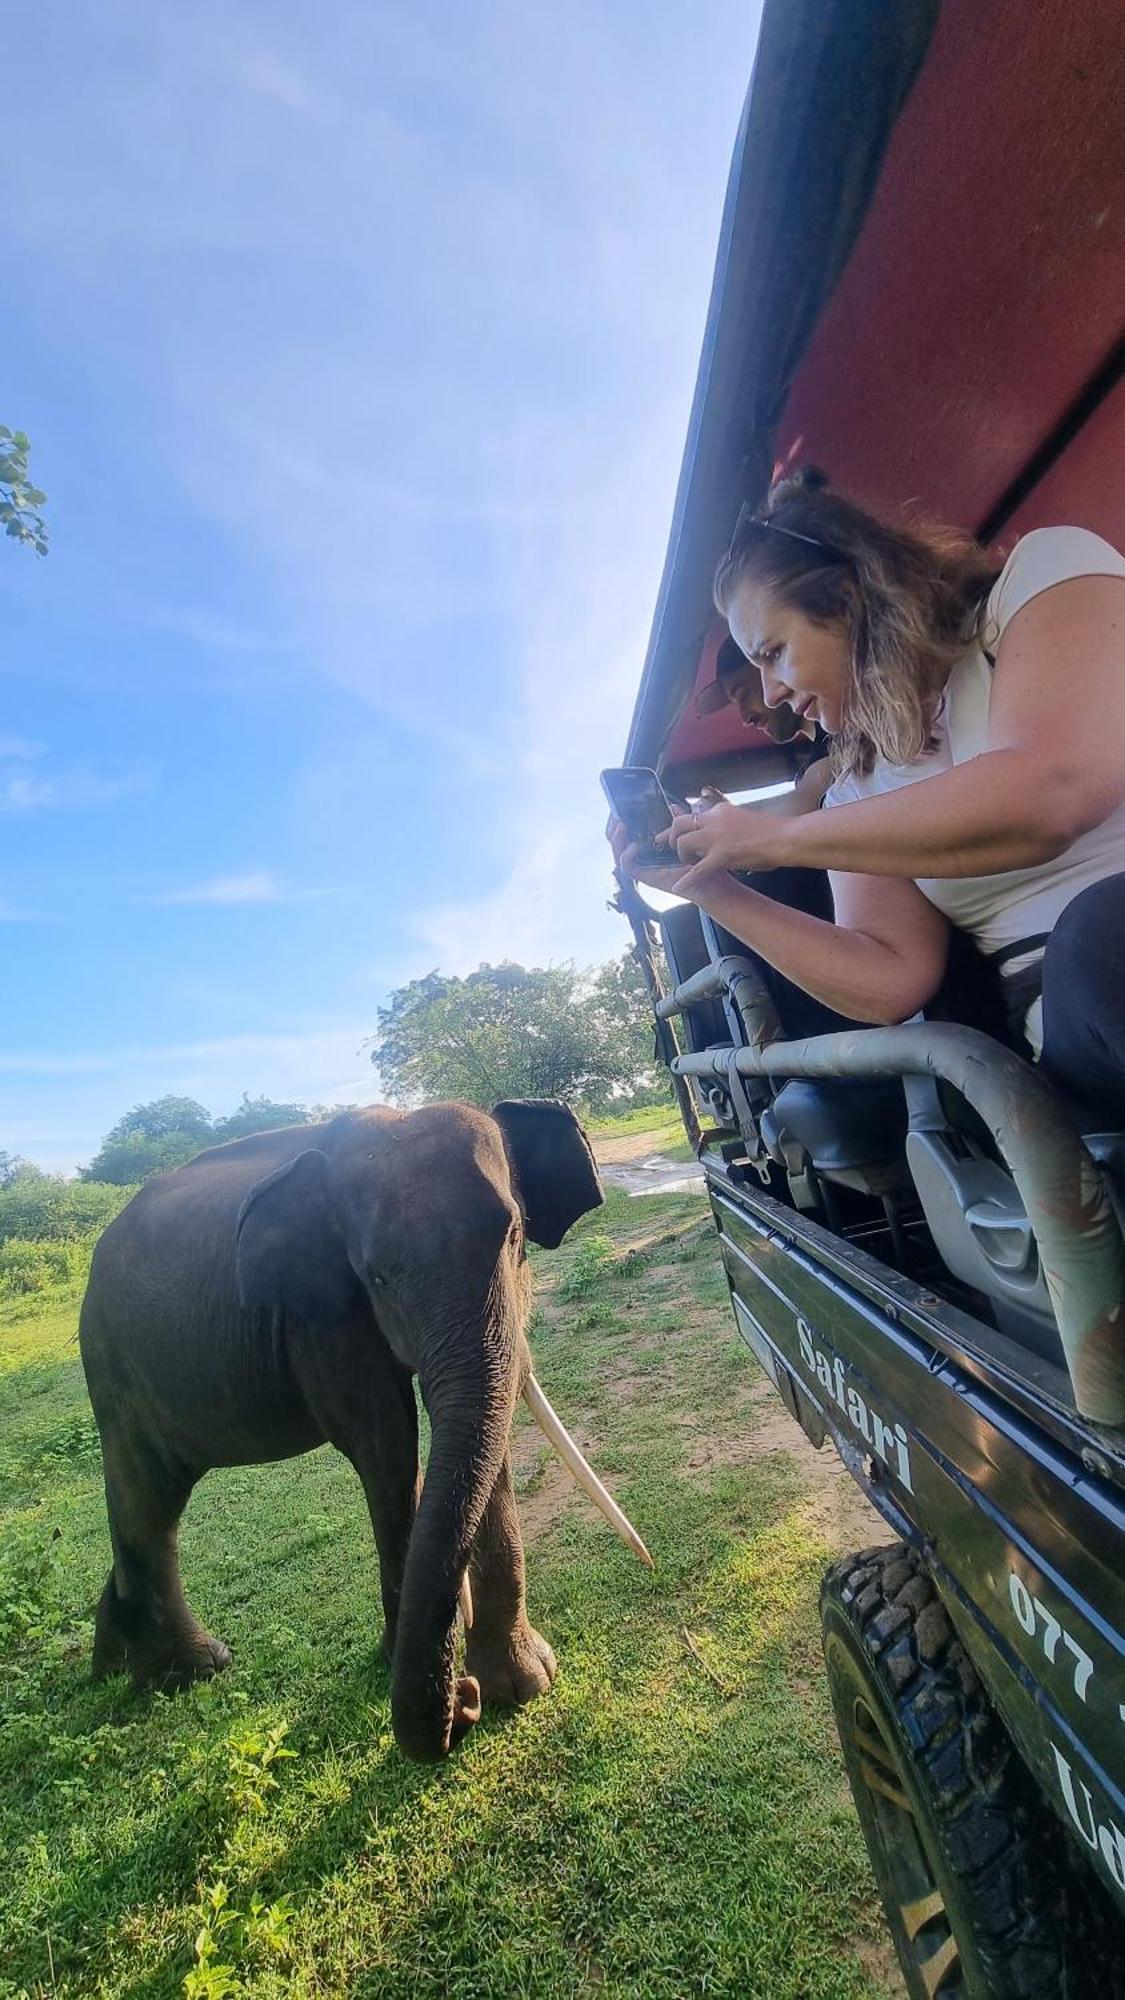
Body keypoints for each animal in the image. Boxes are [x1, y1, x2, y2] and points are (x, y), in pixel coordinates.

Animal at [79, 1104, 648, 1760]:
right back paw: (190, 1670)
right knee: (148, 1499)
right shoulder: (321, 1316)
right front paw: (430, 1672)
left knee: (158, 1503)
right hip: (114, 1368)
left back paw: (117, 1665)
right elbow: (386, 1443)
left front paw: (521, 1685)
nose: (464, 1702)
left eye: (513, 1236)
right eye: (377, 1277)